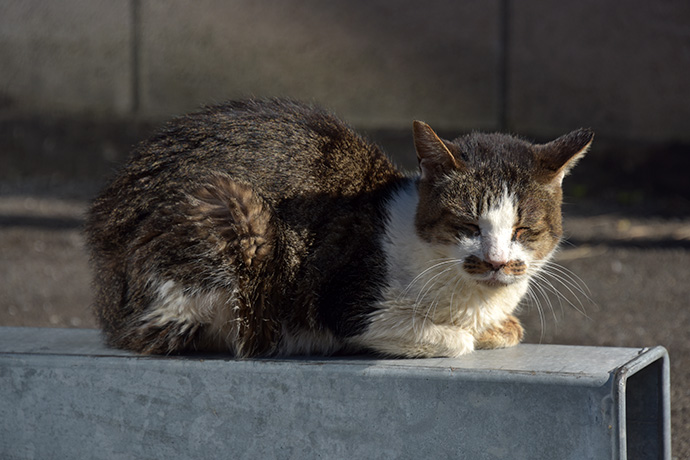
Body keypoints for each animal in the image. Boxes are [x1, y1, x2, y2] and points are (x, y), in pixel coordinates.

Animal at [86, 99, 592, 360]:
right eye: (468, 224)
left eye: (524, 230)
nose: (496, 262)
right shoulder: (345, 302)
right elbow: (453, 340)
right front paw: (461, 334)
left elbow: (505, 330)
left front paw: (499, 327)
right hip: (231, 212)